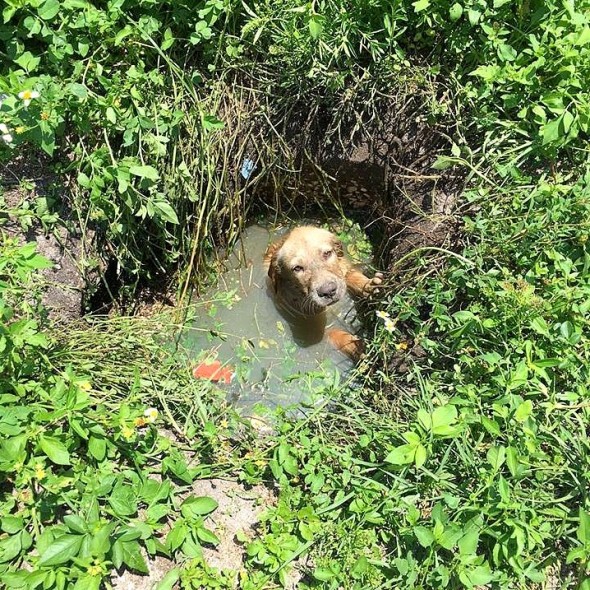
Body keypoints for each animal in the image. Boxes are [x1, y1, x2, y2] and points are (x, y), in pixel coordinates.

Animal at [264, 227, 384, 360]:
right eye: (297, 268)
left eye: (327, 253)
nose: (328, 291)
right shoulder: (314, 326)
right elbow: (335, 333)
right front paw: (357, 346)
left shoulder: (344, 269)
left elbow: (351, 276)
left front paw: (369, 285)